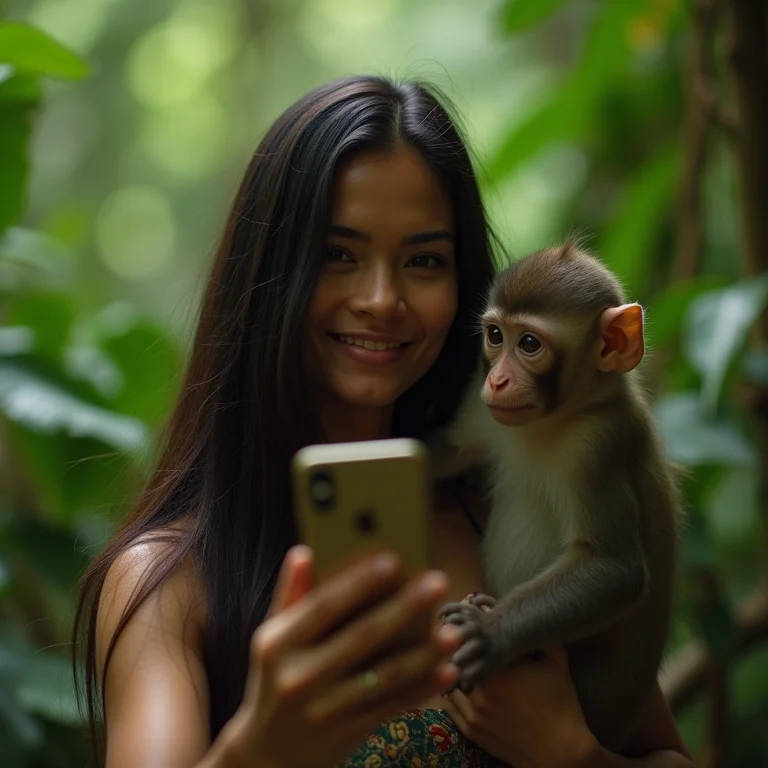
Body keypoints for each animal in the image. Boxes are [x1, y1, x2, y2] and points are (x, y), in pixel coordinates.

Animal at [435, 239, 683, 751]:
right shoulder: (483, 407)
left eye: (529, 344)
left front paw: (489, 633)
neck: (556, 420)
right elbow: (449, 452)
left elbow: (615, 569)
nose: (498, 380)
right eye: (495, 336)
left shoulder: (598, 445)